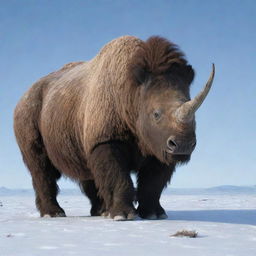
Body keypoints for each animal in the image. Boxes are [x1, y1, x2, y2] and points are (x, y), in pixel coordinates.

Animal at [14, 36, 214, 220]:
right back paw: (54, 214)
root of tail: (23, 95)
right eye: (156, 114)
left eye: (195, 112)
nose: (183, 145)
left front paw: (154, 215)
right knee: (41, 167)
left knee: (87, 168)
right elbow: (117, 175)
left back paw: (99, 212)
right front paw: (123, 216)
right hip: (27, 112)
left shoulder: (159, 145)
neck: (133, 92)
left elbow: (153, 182)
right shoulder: (105, 139)